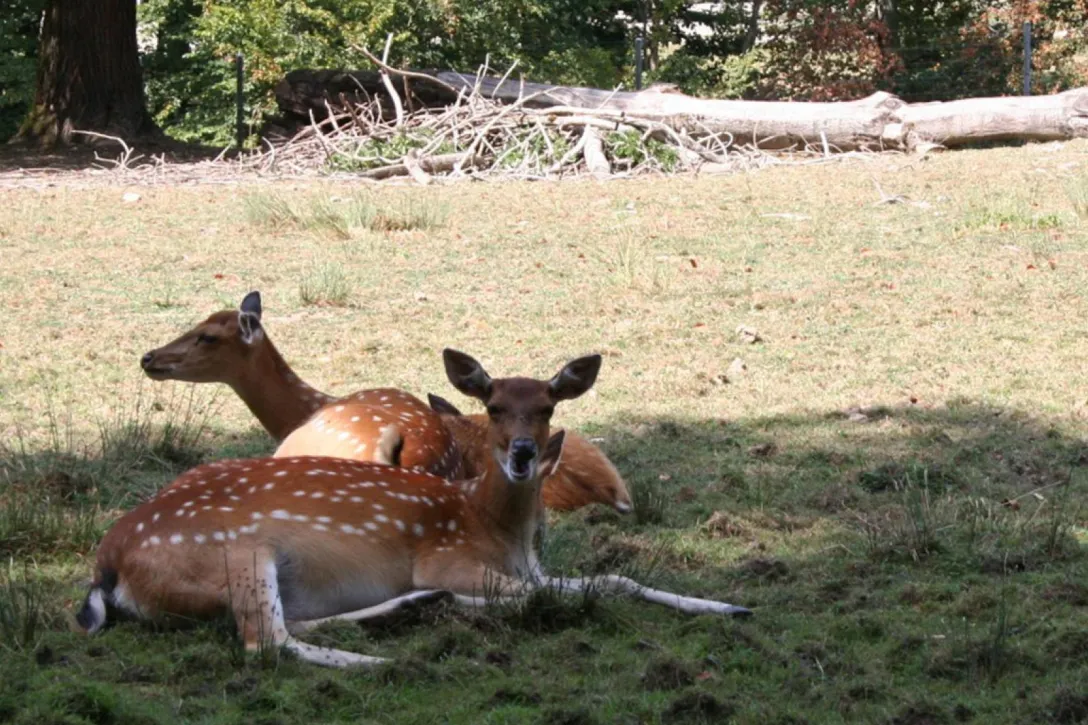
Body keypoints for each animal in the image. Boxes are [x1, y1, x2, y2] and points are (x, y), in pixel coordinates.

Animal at [74, 350, 749, 668]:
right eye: (494, 406)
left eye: (548, 406)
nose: (524, 453)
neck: (495, 528)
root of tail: (106, 568)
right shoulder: (447, 557)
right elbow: (542, 596)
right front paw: (469, 606)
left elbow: (615, 578)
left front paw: (729, 605)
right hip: (238, 549)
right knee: (265, 641)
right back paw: (380, 658)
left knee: (288, 626)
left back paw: (405, 615)